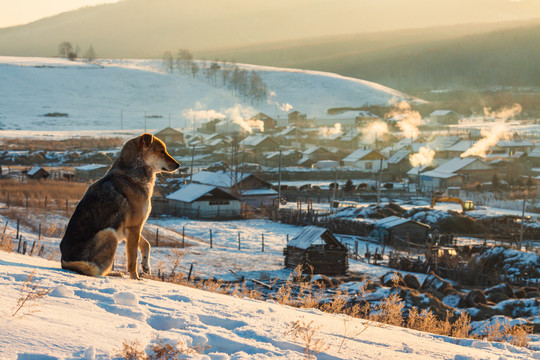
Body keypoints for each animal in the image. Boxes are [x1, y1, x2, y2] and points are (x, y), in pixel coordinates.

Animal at [60, 134, 179, 280]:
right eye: (162, 151)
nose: (178, 165)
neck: (134, 173)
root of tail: (64, 262)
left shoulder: (131, 228)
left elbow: (147, 244)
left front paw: (146, 266)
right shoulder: (133, 227)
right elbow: (132, 259)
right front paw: (135, 278)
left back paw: (115, 273)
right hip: (109, 234)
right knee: (98, 272)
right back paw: (113, 274)